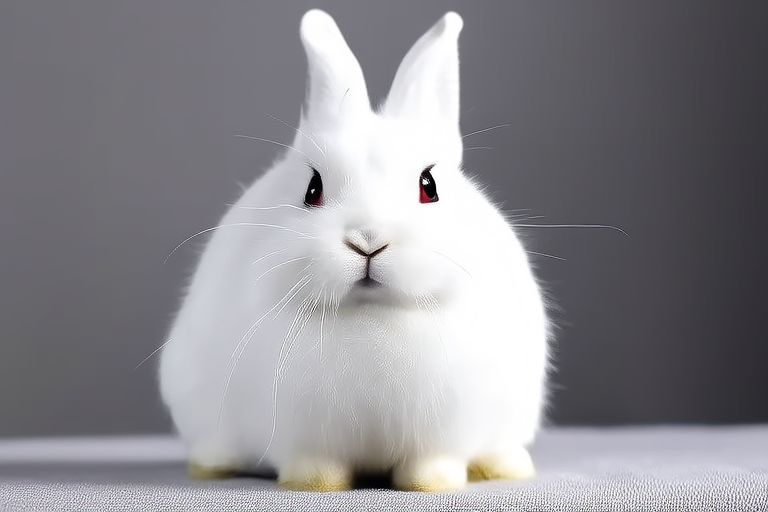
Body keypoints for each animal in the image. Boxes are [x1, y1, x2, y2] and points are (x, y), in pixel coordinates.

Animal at [159, 9, 550, 492]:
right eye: (312, 189)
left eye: (430, 186)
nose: (368, 239)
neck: (372, 315)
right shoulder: (301, 434)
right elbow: (314, 462)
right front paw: (316, 483)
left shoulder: (443, 433)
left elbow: (433, 461)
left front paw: (432, 482)